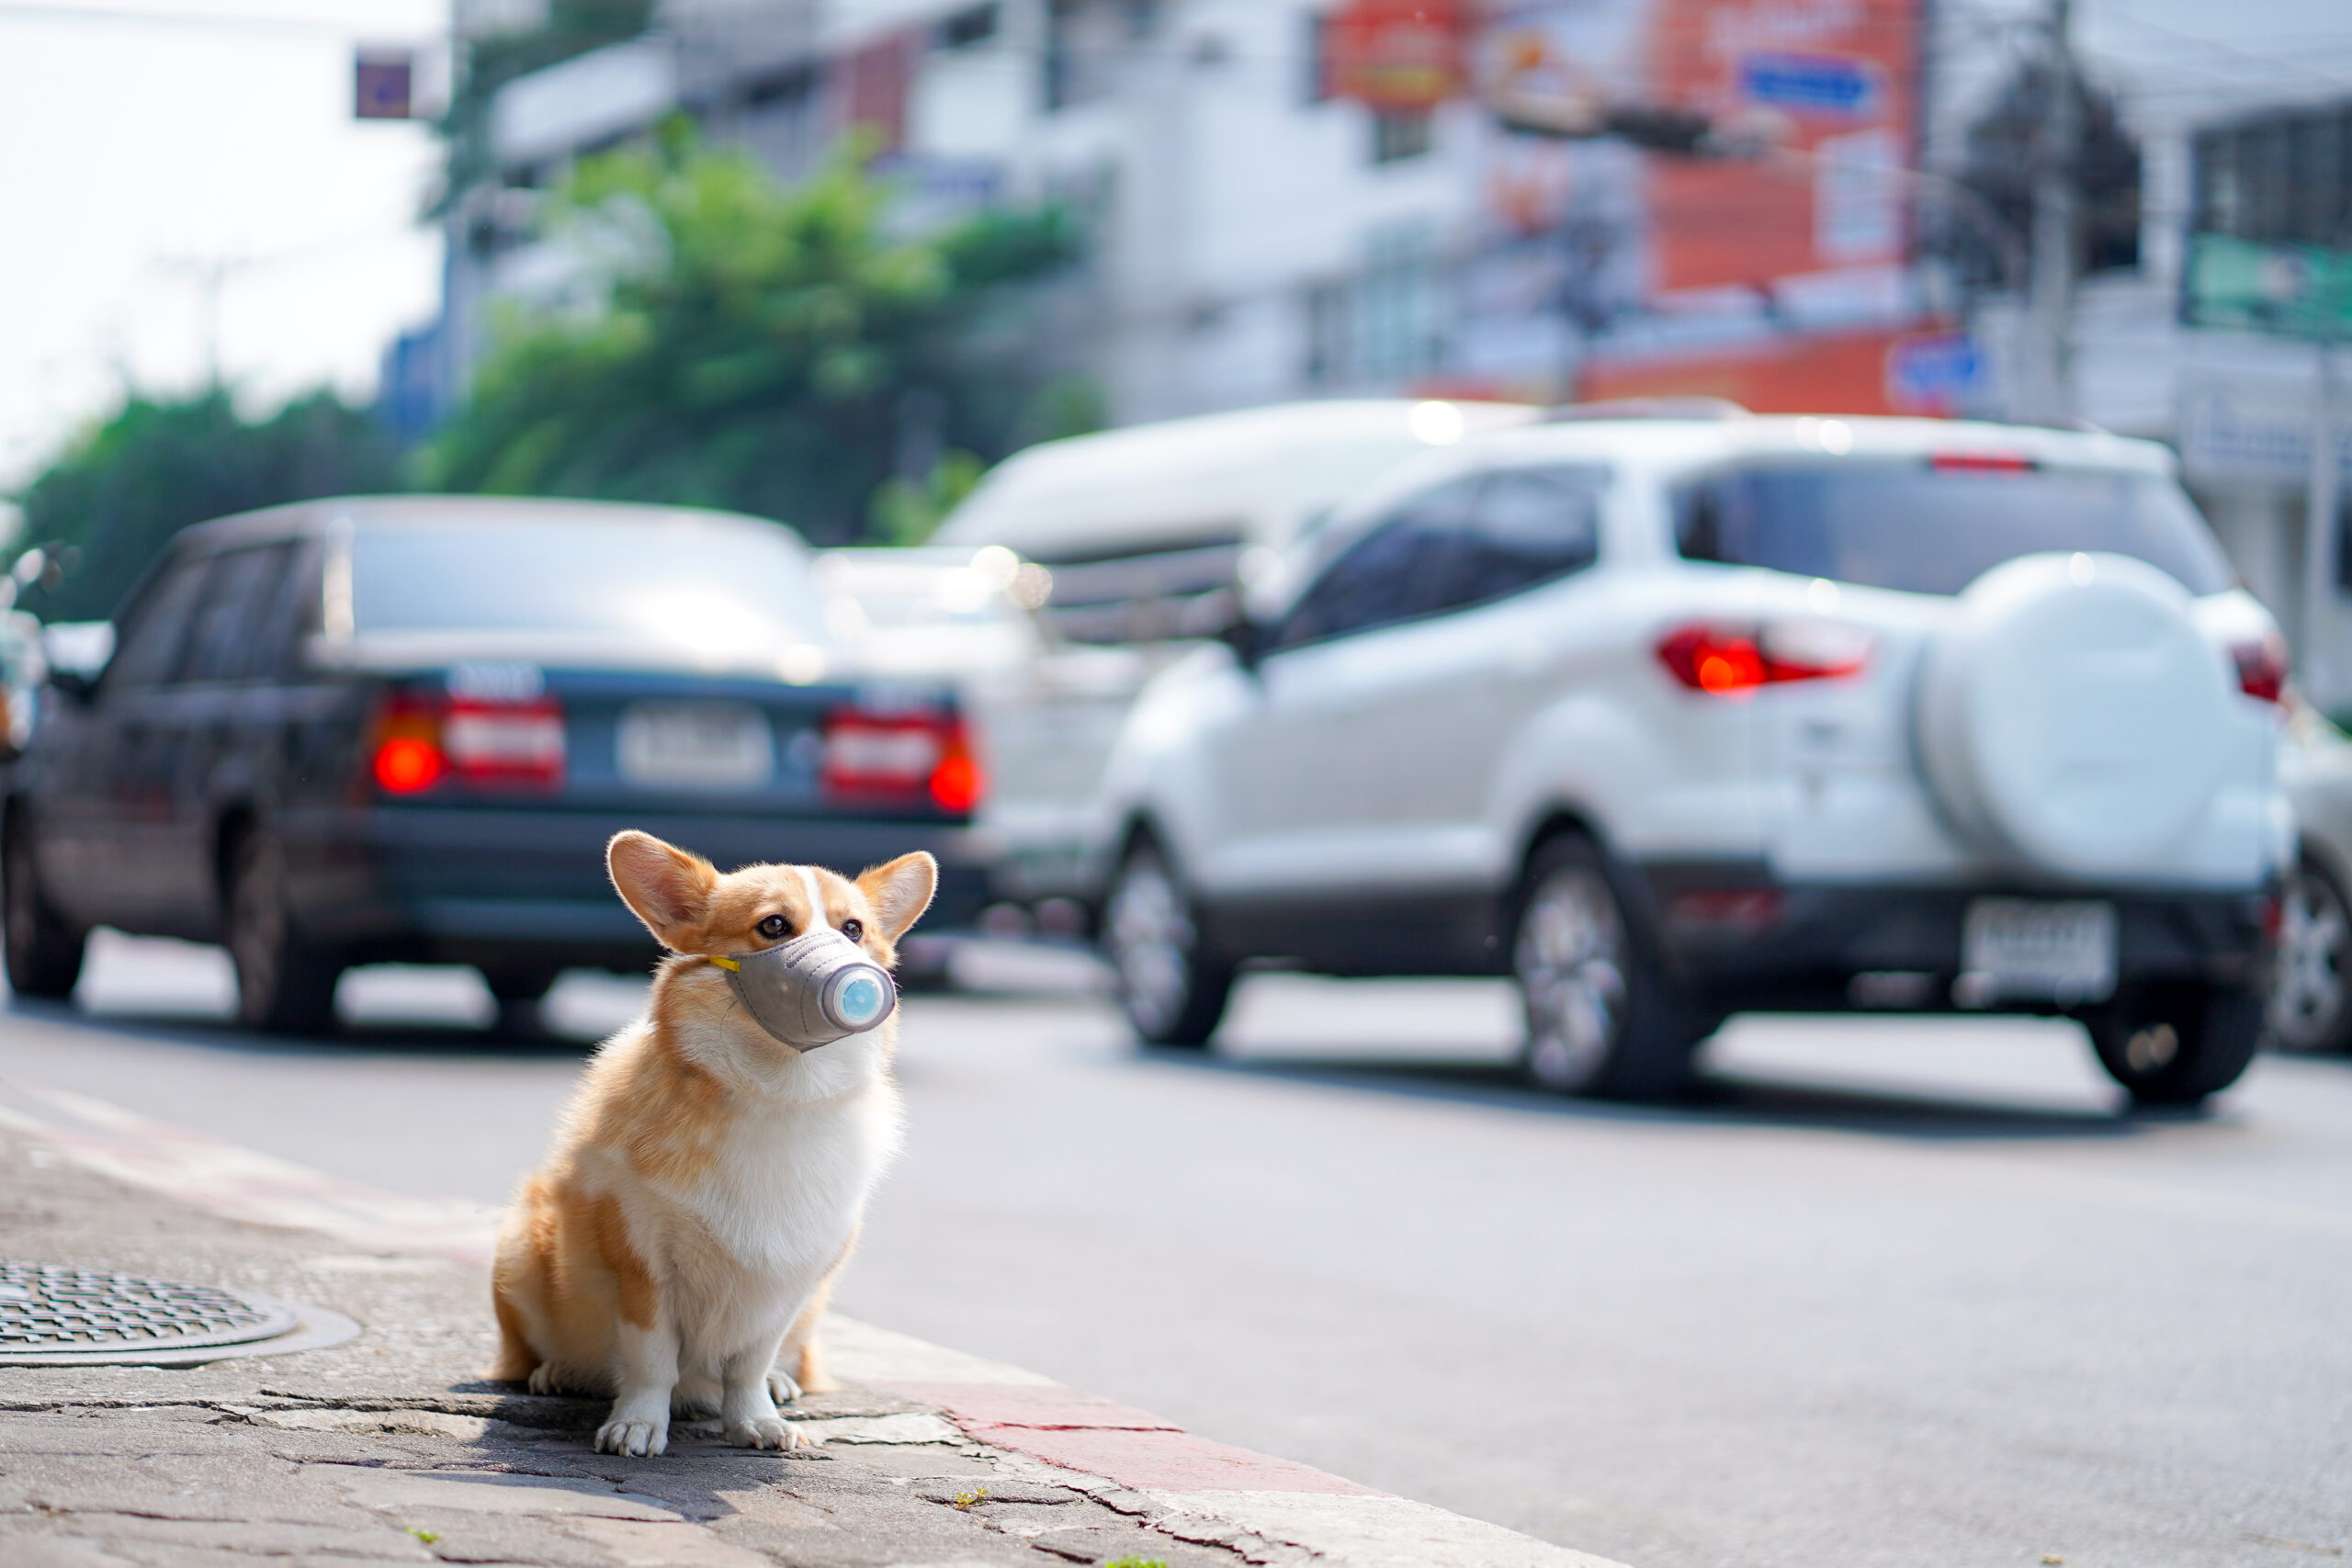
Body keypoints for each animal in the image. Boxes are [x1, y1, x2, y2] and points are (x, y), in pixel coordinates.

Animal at [489, 831, 935, 1457]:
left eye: (853, 929)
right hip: (521, 1252)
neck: (777, 1093)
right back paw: (560, 1373)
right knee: (534, 1351)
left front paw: (756, 1420)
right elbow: (652, 1360)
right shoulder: (645, 1267)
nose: (851, 979)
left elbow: (750, 1363)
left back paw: (781, 1385)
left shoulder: (789, 1279)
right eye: (773, 926)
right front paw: (637, 1426)